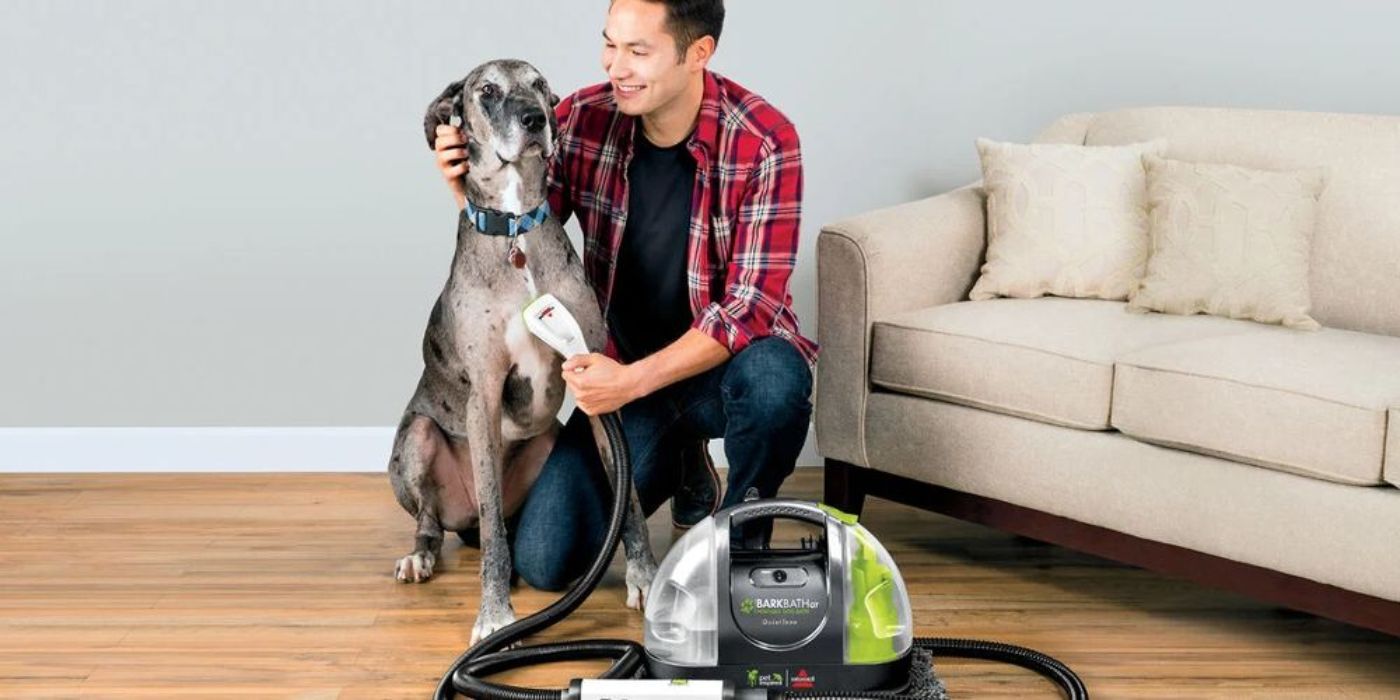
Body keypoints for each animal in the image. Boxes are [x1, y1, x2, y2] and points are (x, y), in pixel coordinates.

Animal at [392, 58, 658, 644]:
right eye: (487, 90)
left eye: (540, 86)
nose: (536, 119)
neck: (515, 229)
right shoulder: (485, 395)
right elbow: (493, 524)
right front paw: (494, 615)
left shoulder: (595, 375)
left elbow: (627, 494)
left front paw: (647, 579)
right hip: (416, 442)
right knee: (439, 523)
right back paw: (421, 557)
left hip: (549, 441)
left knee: (510, 528)